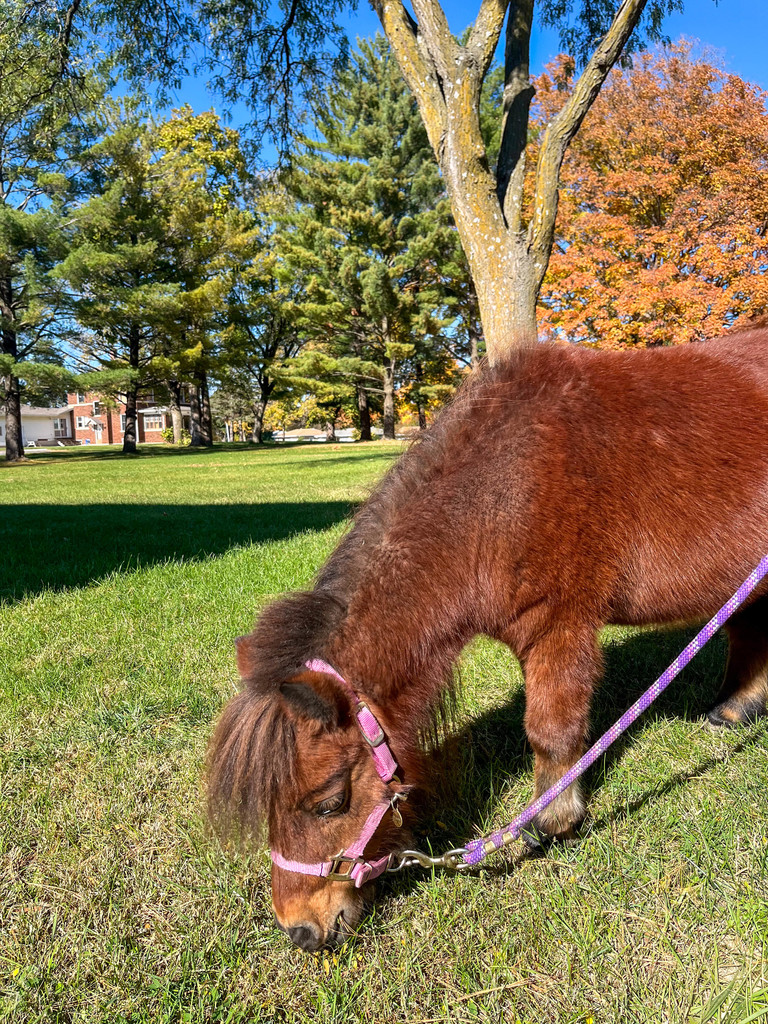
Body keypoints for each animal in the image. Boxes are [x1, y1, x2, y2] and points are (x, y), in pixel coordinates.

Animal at [208, 326, 768, 951]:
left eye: (330, 802)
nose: (301, 929)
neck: (501, 493)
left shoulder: (559, 628)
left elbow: (551, 730)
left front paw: (550, 822)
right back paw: (734, 708)